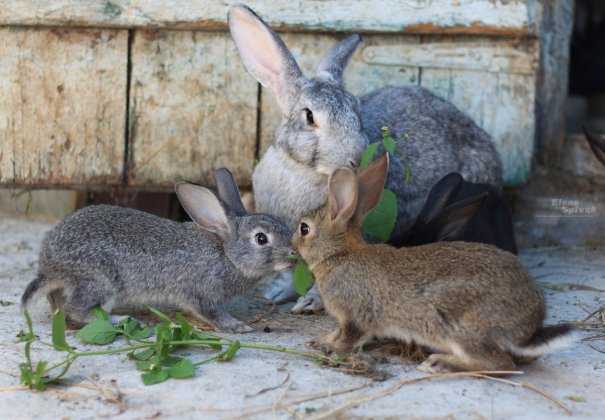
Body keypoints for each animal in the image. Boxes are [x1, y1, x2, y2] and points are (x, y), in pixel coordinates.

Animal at [22, 169, 296, 334]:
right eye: (261, 238)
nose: (294, 253)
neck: (227, 255)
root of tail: (49, 267)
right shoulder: (202, 293)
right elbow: (213, 313)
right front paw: (237, 327)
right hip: (101, 281)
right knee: (77, 310)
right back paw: (120, 321)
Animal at [226, 4, 500, 304]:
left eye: (356, 111)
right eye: (309, 117)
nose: (356, 159)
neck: (304, 171)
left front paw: (311, 301)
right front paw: (276, 294)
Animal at [292, 154, 576, 374]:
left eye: (304, 228)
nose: (292, 245)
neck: (339, 255)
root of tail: (528, 329)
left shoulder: (357, 315)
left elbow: (348, 339)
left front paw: (330, 348)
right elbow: (338, 332)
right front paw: (320, 340)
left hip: (460, 328)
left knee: (501, 364)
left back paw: (439, 364)